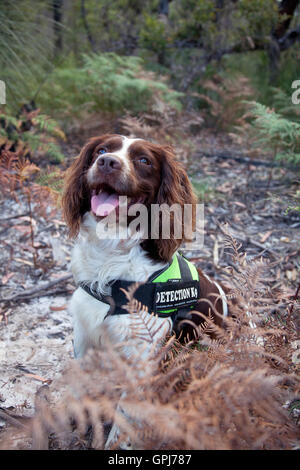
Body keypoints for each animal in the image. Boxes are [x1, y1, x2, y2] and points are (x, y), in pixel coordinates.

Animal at [62, 135, 229, 448]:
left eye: (143, 160)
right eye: (102, 150)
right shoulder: (85, 333)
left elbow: (124, 421)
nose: (107, 162)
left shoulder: (142, 357)